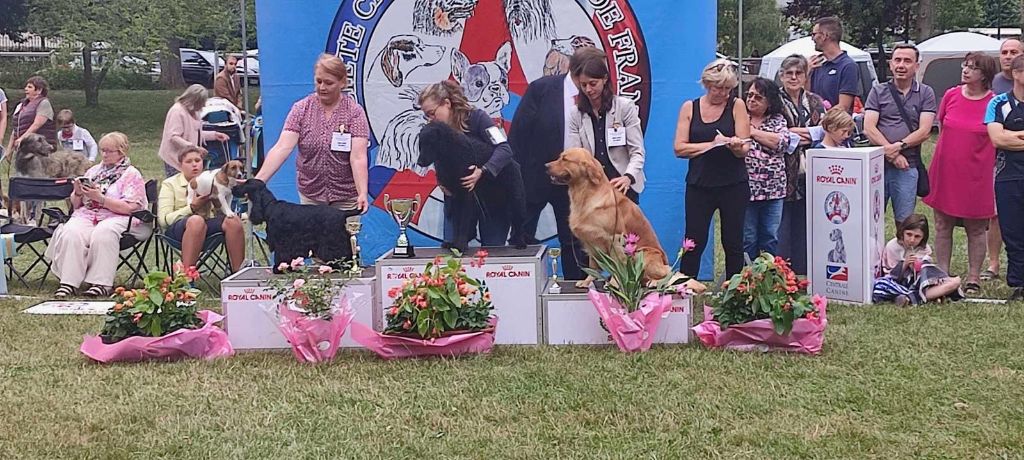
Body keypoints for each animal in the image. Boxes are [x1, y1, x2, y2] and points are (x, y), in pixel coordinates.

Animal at [232, 178, 360, 272]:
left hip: (334, 239)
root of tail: (342, 213)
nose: (233, 188)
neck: (270, 206)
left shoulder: (282, 242)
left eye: (246, 183)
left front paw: (278, 269)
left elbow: (281, 255)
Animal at [417, 119, 528, 251]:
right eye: (420, 144)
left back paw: (521, 243)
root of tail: (514, 163)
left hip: (516, 203)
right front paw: (454, 243)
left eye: (430, 143)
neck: (451, 153)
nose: (419, 162)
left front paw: (460, 245)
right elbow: (456, 223)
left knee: (519, 225)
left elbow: (463, 222)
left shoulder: (466, 194)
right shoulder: (455, 196)